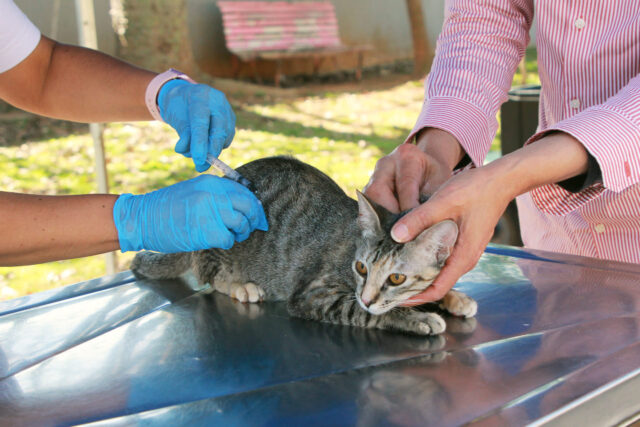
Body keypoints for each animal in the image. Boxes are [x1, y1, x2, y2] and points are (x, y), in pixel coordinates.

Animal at [132, 155, 478, 336]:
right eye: (361, 267)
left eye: (396, 278)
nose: (367, 296)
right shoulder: (313, 295)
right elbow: (363, 312)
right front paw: (417, 318)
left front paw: (453, 297)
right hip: (220, 238)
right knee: (207, 271)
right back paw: (240, 285)